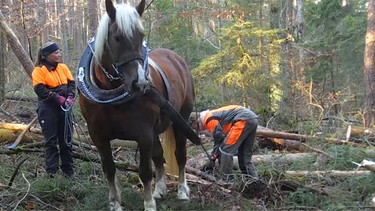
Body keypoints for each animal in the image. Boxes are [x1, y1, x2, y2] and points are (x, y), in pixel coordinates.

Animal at [78, 0, 197, 210]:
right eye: (117, 37)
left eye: (141, 37)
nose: (140, 83)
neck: (110, 98)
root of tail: (176, 58)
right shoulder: (98, 136)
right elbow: (109, 169)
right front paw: (115, 203)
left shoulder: (143, 134)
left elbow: (144, 171)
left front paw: (149, 204)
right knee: (158, 155)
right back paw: (159, 189)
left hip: (180, 120)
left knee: (180, 154)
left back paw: (182, 191)